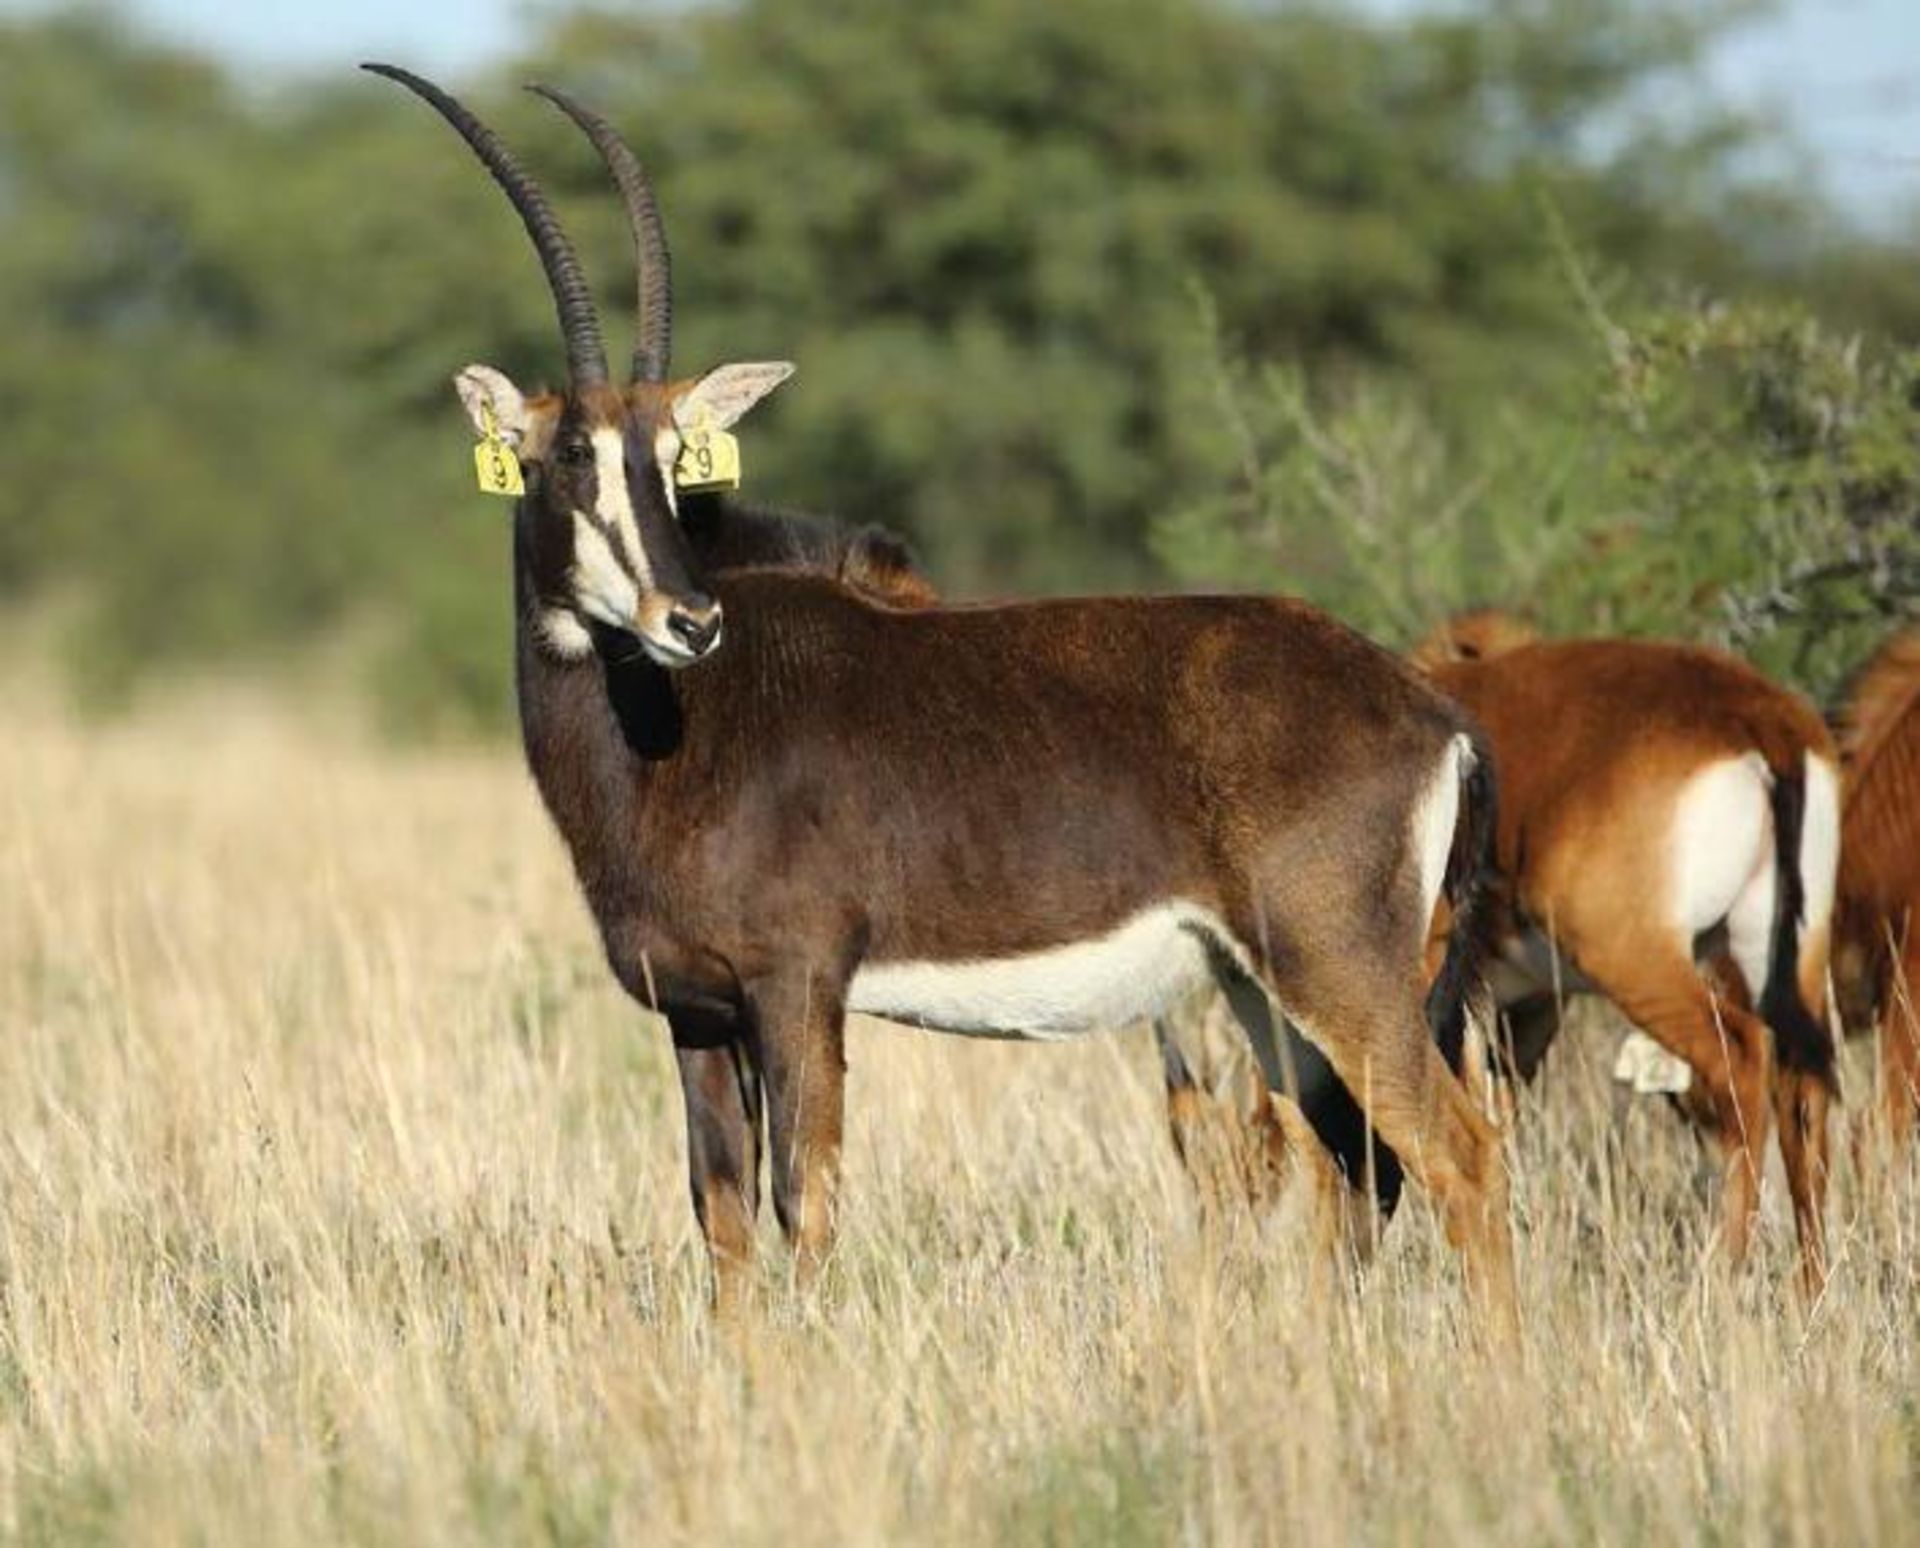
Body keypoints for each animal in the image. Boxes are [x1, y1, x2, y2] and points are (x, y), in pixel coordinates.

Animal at [362, 60, 1512, 1321]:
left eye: (673, 462)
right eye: (571, 455)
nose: (689, 621)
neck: (673, 736)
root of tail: (1436, 717)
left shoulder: (797, 986)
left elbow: (802, 1206)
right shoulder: (697, 1012)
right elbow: (721, 1220)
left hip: (1337, 969)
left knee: (1458, 1155)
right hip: (1256, 987)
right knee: (1351, 1169)